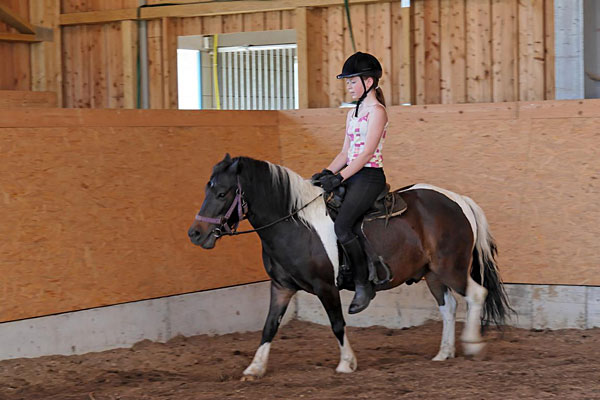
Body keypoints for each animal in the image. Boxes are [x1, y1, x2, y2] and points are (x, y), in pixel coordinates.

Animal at [187, 154, 512, 379]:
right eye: (206, 189)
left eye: (222, 193)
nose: (196, 234)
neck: (295, 224)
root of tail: (458, 200)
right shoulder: (281, 287)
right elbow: (269, 326)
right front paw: (255, 368)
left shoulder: (325, 287)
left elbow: (337, 323)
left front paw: (346, 362)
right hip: (432, 273)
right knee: (448, 307)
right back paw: (444, 353)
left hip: (450, 268)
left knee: (476, 295)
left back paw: (472, 343)